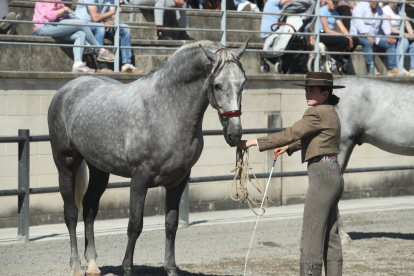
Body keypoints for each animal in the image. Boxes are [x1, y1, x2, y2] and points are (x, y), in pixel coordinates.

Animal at [49, 39, 249, 276]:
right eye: (217, 85)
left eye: (243, 84)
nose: (235, 134)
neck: (165, 110)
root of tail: (67, 89)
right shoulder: (140, 179)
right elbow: (135, 226)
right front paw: (127, 268)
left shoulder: (178, 181)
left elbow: (171, 225)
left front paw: (171, 269)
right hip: (66, 164)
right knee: (71, 212)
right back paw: (75, 265)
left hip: (99, 169)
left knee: (89, 208)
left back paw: (92, 264)